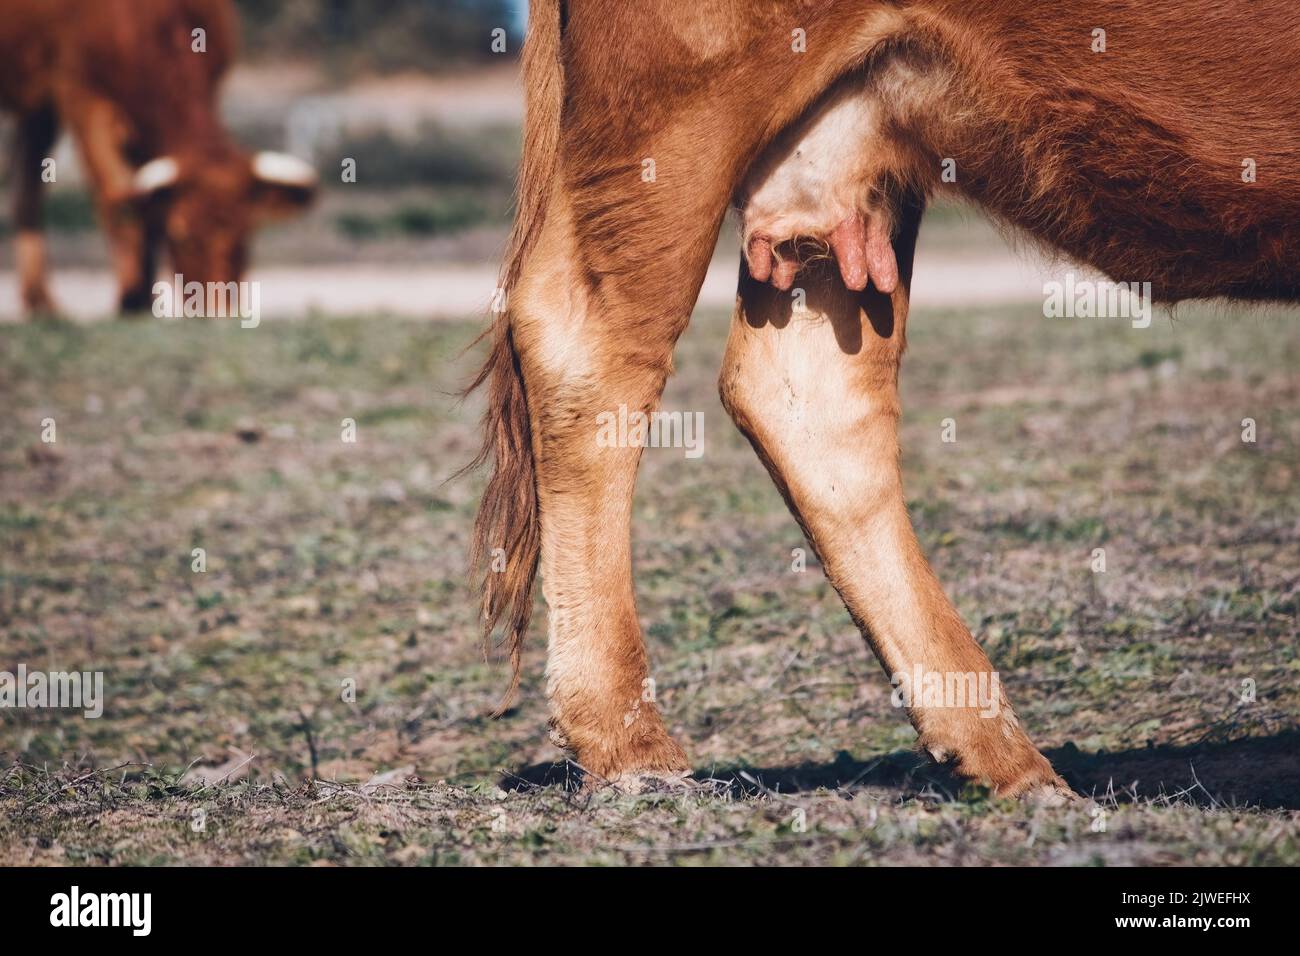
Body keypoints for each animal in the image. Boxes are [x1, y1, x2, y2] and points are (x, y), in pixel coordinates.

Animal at [1, 0, 317, 316]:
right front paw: (130, 297)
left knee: (25, 184)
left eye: (244, 235)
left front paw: (144, 297)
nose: (217, 310)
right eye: (181, 237)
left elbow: (146, 204)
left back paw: (39, 300)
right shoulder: (80, 93)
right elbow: (117, 196)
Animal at [473, 1, 1300, 801]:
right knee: (593, 343)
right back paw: (631, 746)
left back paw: (999, 756)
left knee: (806, 391)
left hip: (845, 154)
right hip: (681, 100)